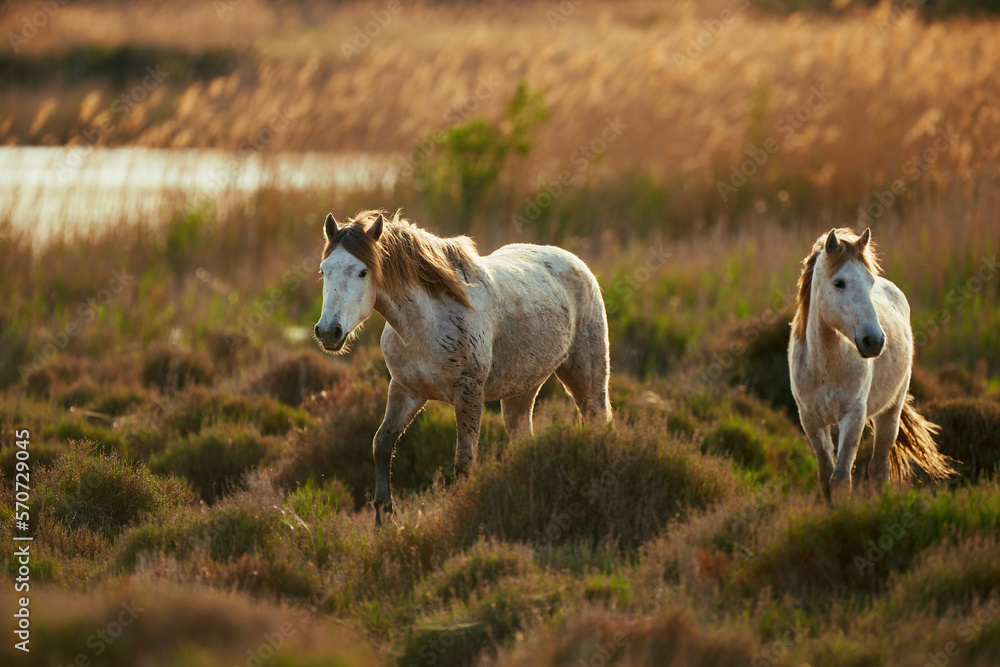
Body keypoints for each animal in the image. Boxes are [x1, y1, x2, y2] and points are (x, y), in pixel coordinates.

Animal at [313, 210, 612, 527]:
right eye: (323, 270)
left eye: (362, 272)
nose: (329, 332)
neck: (426, 323)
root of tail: (577, 263)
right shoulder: (406, 390)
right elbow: (382, 445)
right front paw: (384, 520)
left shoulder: (469, 391)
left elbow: (463, 461)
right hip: (521, 391)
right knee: (524, 440)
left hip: (586, 377)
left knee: (598, 420)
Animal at [788, 227, 956, 503]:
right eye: (839, 283)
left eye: (869, 282)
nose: (874, 341)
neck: (824, 367)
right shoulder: (810, 418)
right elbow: (826, 478)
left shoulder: (853, 415)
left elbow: (841, 480)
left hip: (891, 411)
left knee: (878, 469)